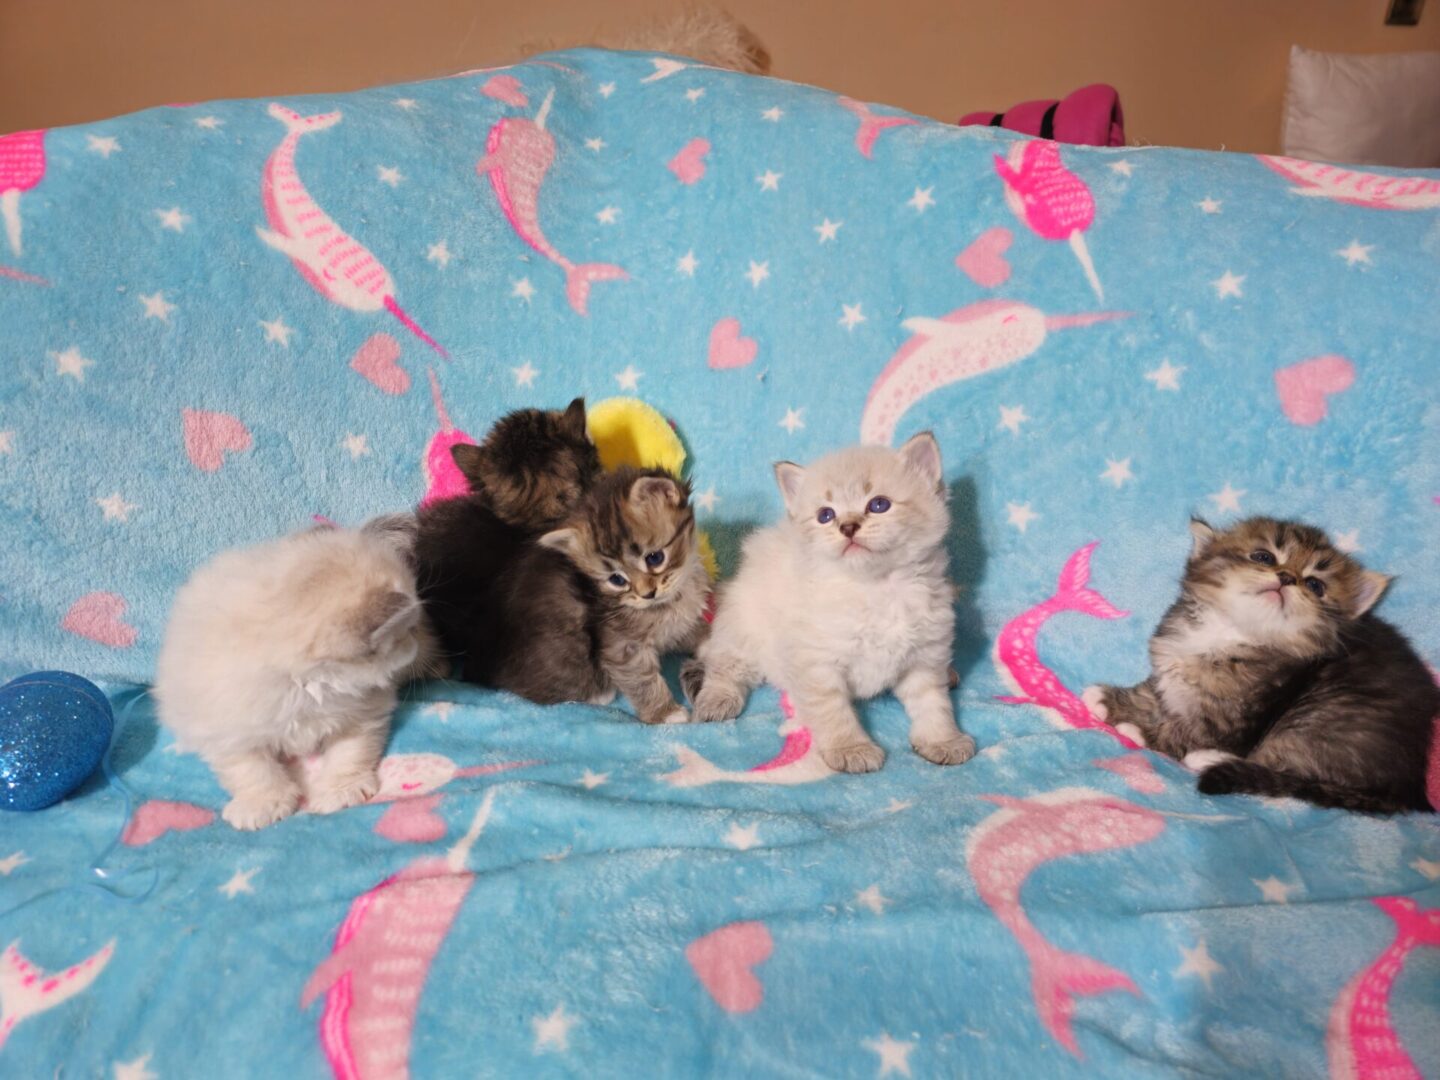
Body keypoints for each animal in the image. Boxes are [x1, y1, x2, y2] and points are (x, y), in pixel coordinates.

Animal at [154, 514, 442, 830]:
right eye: (407, 630)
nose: (417, 638)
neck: (307, 686)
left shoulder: (364, 712)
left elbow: (350, 753)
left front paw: (340, 792)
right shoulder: (225, 729)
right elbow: (252, 770)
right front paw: (263, 804)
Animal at [681, 432, 975, 773]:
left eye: (879, 505)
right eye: (826, 515)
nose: (847, 527)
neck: (876, 588)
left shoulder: (924, 658)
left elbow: (934, 705)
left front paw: (943, 740)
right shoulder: (818, 664)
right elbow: (834, 712)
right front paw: (851, 749)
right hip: (743, 633)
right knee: (724, 668)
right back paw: (717, 701)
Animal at [1084, 517, 1438, 813]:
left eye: (1315, 585)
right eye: (1264, 557)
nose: (1286, 578)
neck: (1232, 632)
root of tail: (1406, 788)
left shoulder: (1234, 721)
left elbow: (1184, 731)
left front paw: (1139, 730)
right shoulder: (1168, 671)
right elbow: (1152, 694)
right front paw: (1108, 700)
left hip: (1323, 719)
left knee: (1286, 767)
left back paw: (1205, 760)